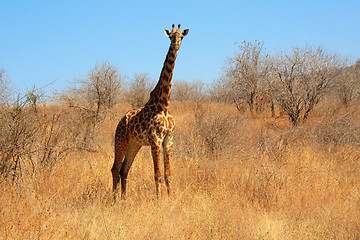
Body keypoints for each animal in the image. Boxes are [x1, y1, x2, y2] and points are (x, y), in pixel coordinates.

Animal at [112, 23, 190, 201]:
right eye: (170, 37)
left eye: (181, 36)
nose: (176, 45)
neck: (164, 104)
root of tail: (120, 121)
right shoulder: (156, 139)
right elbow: (157, 175)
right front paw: (159, 201)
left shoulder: (168, 139)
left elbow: (168, 175)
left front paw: (170, 198)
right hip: (121, 140)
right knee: (115, 169)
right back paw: (113, 200)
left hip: (135, 143)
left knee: (124, 169)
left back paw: (124, 200)